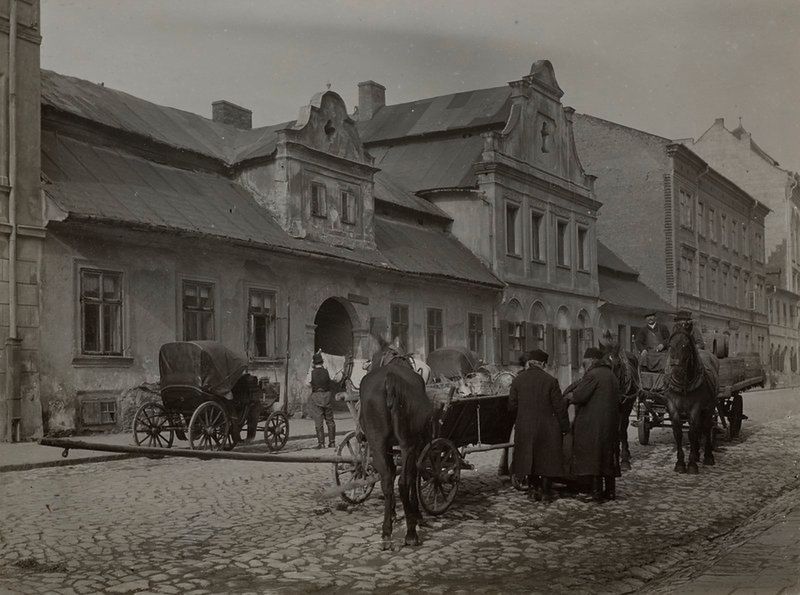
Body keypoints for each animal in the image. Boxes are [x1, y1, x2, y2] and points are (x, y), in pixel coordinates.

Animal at [360, 340, 434, 548]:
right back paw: (411, 532)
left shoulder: (386, 447)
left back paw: (386, 532)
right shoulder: (417, 445)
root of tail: (389, 380)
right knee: (404, 481)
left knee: (387, 480)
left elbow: (391, 473)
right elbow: (414, 475)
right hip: (407, 444)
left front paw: (393, 512)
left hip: (377, 443)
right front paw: (416, 514)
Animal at [664, 324, 720, 472]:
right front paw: (680, 463)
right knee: (699, 428)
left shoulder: (696, 406)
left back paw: (708, 457)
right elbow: (678, 432)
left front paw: (692, 465)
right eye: (670, 345)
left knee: (706, 427)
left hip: (709, 406)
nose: (676, 371)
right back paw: (696, 454)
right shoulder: (672, 406)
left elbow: (692, 433)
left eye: (686, 346)